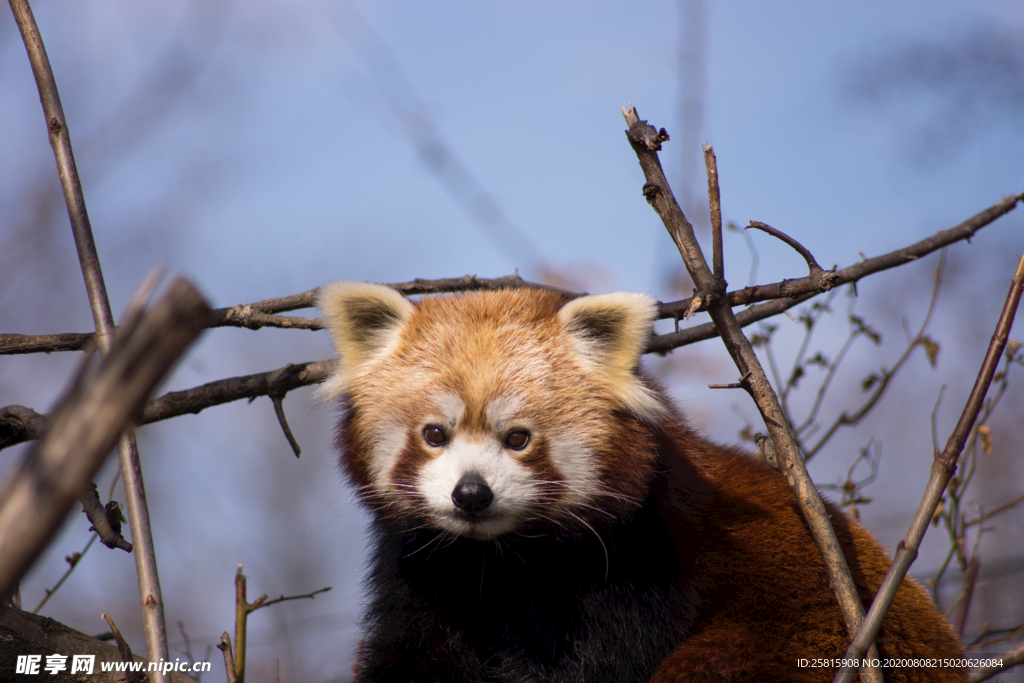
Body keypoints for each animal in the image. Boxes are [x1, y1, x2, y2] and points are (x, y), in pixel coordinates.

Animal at [319, 280, 966, 679]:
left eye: (518, 438)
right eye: (434, 433)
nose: (471, 493)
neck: (502, 560)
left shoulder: (640, 566)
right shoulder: (425, 572)